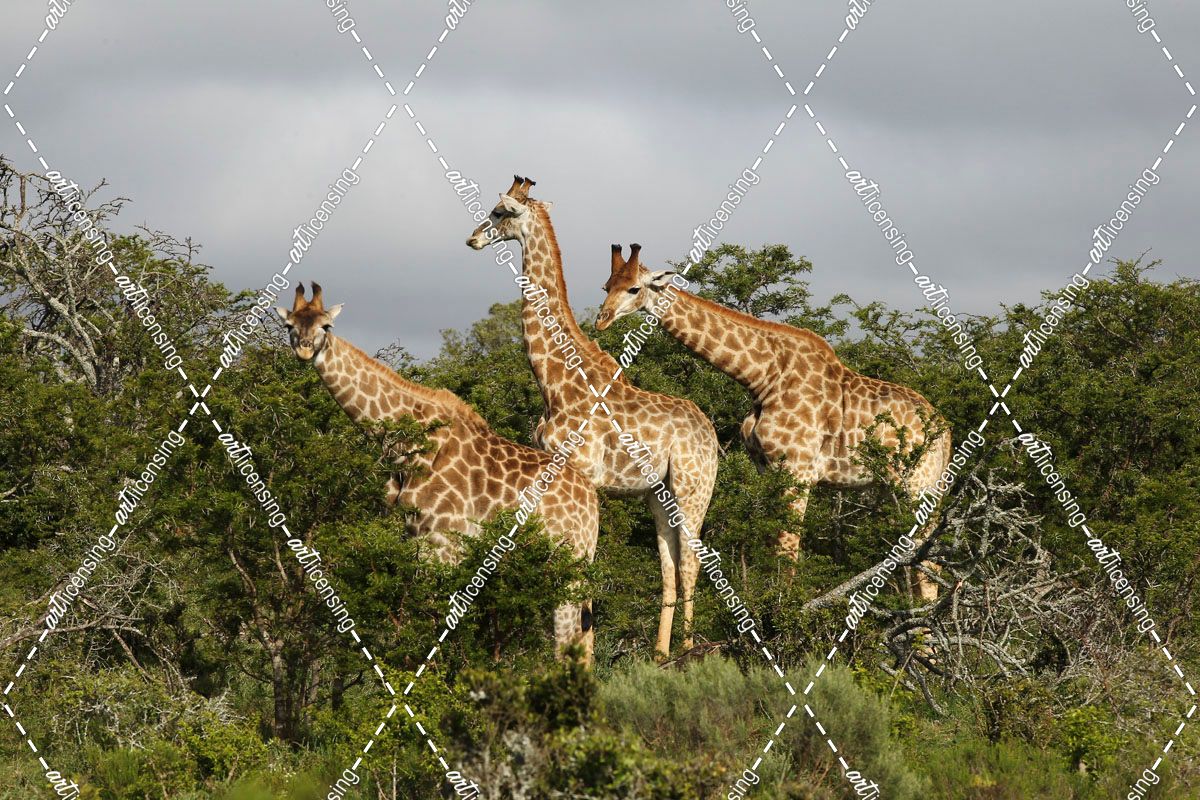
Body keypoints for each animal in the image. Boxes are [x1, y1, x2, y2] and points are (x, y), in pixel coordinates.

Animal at [277, 282, 600, 661]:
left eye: (326, 326)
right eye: (289, 325)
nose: (304, 348)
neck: (403, 445)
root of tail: (592, 500)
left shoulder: (445, 543)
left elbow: (439, 622)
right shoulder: (415, 537)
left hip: (569, 559)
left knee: (569, 635)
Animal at [465, 177, 719, 660]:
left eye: (500, 211)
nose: (472, 239)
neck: (554, 381)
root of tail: (713, 437)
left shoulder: (582, 475)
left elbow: (582, 571)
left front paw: (581, 653)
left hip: (693, 487)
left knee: (693, 561)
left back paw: (690, 651)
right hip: (659, 494)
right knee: (669, 564)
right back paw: (659, 655)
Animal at [596, 245, 951, 600]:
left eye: (634, 288)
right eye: (606, 286)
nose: (602, 319)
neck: (762, 378)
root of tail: (946, 431)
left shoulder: (799, 469)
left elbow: (788, 552)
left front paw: (786, 611)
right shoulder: (767, 468)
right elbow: (770, 549)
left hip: (919, 482)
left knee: (929, 561)